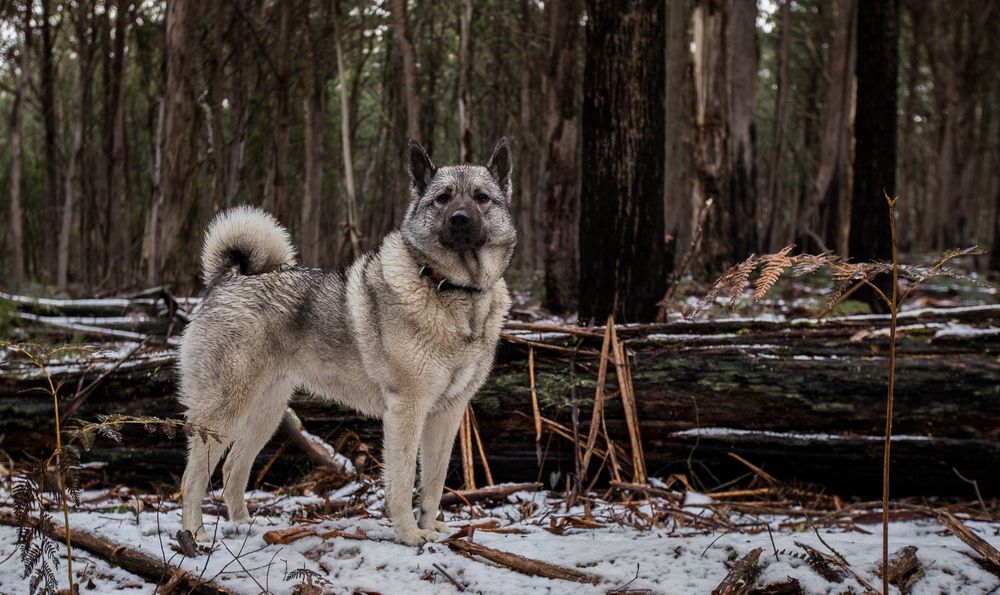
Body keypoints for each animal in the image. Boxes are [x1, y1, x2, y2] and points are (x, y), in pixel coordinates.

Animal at [177, 139, 516, 544]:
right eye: (442, 198)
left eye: (481, 198)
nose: (460, 219)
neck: (453, 291)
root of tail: (228, 279)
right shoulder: (407, 410)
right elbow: (403, 480)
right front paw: (410, 535)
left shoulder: (448, 413)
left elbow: (433, 481)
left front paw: (431, 527)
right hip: (223, 410)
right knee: (192, 478)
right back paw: (194, 535)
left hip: (266, 412)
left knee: (232, 469)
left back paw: (243, 525)